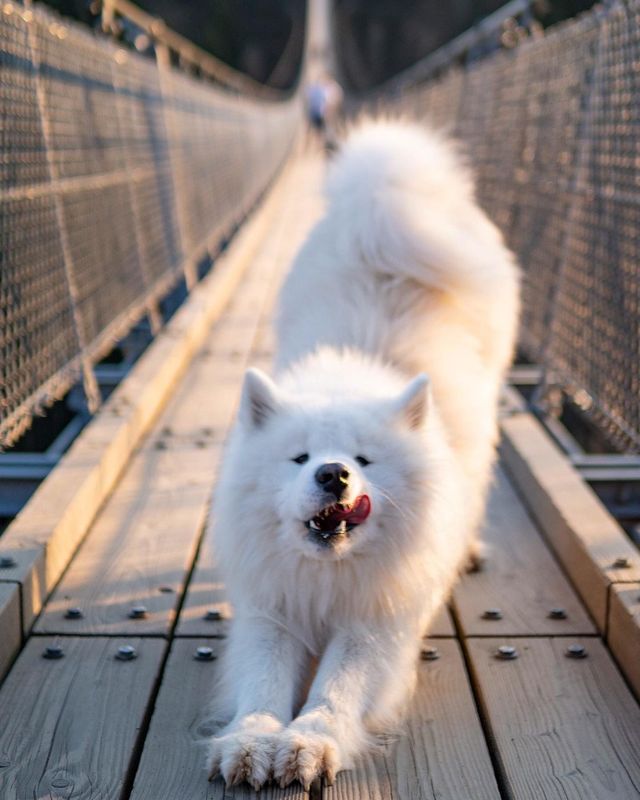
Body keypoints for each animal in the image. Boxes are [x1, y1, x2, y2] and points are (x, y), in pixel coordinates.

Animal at [209, 117, 520, 788]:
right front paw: (251, 740)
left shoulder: (376, 624)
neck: (330, 580)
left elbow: (337, 690)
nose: (334, 474)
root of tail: (390, 191)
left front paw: (309, 744)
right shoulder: (271, 610)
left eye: (366, 459)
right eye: (299, 458)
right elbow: (262, 682)